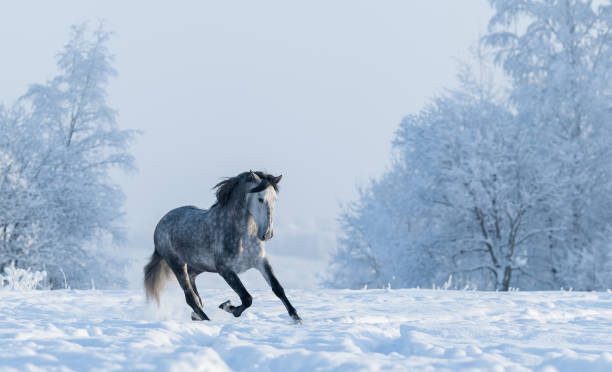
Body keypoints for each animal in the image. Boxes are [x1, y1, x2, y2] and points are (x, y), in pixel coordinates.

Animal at [143, 171, 302, 322]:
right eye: (260, 199)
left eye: (275, 199)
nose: (267, 234)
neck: (243, 235)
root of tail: (161, 223)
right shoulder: (225, 269)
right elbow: (247, 298)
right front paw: (228, 306)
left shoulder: (261, 261)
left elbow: (277, 288)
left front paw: (296, 318)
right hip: (177, 264)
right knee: (190, 297)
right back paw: (206, 319)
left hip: (200, 265)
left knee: (193, 282)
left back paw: (196, 315)